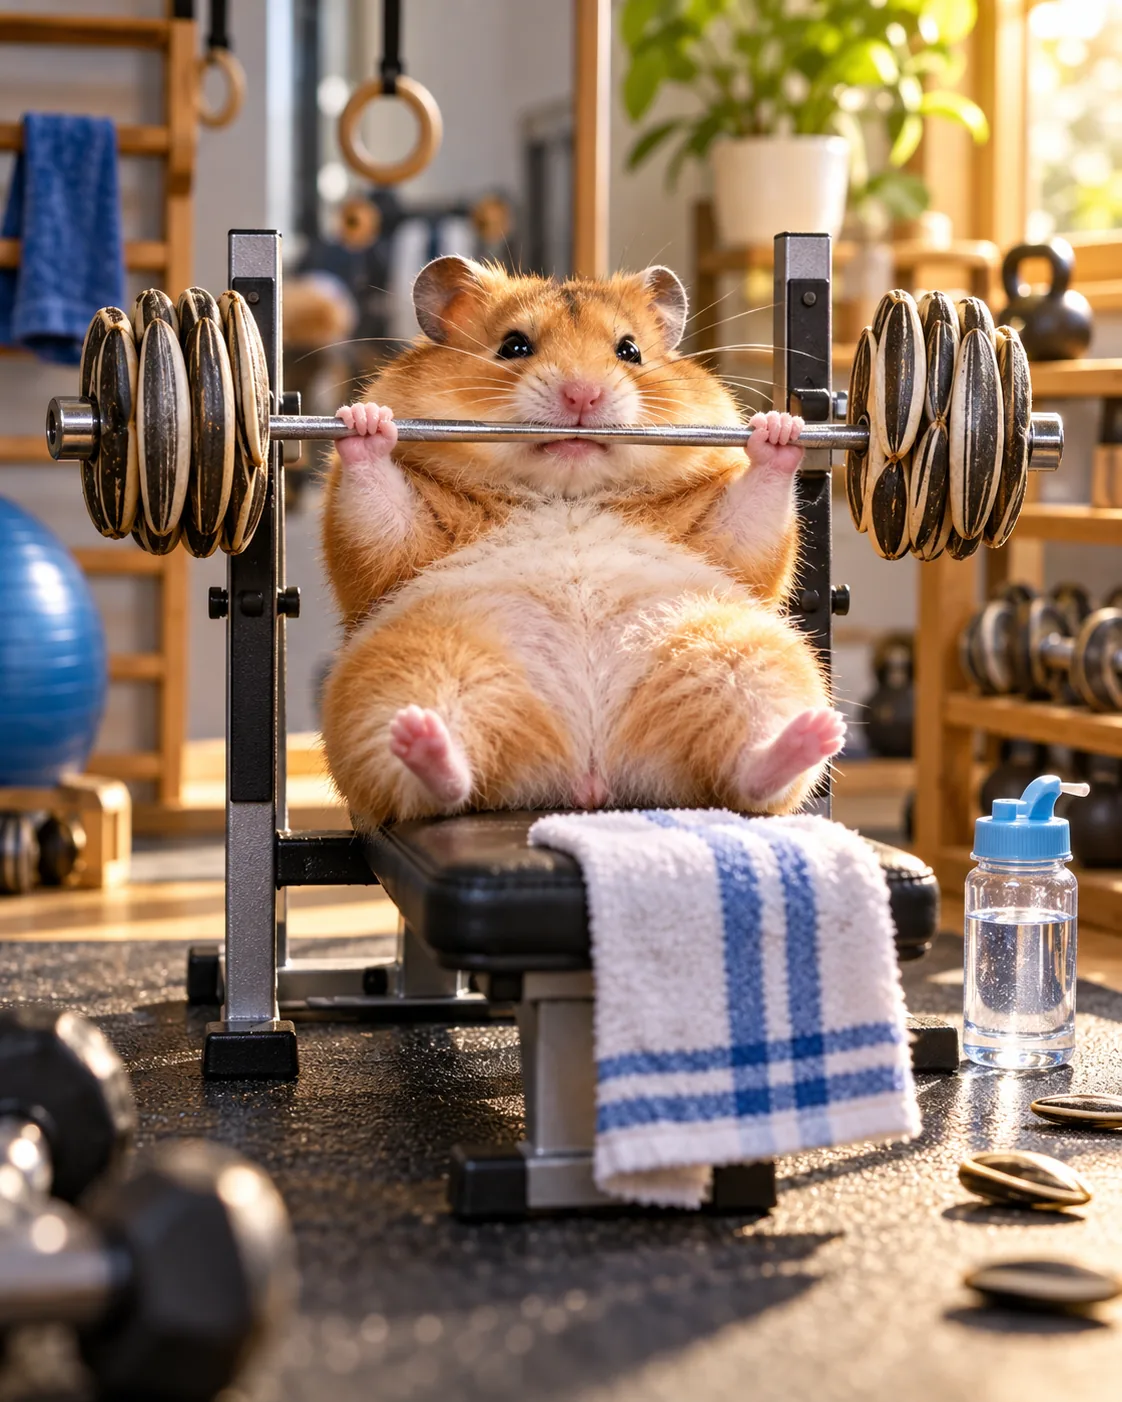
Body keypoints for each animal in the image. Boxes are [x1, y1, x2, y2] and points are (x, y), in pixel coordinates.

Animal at [319, 256, 845, 829]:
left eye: (629, 351)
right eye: (514, 346)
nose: (582, 395)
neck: (568, 491)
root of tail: (589, 774)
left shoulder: (718, 533)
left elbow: (754, 508)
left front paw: (780, 427)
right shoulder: (401, 539)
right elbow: (378, 505)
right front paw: (364, 420)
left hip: (741, 655)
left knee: (751, 773)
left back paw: (815, 734)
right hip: (412, 666)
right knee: (438, 785)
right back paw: (422, 740)